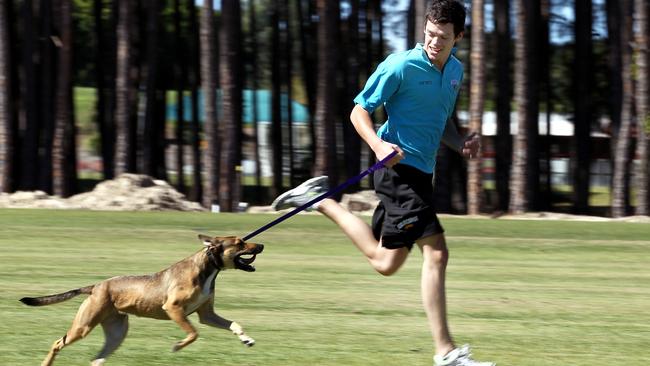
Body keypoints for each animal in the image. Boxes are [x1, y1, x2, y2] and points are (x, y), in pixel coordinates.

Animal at [20, 234, 264, 366]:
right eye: (240, 243)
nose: (261, 245)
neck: (207, 267)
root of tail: (96, 287)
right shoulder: (173, 308)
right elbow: (193, 333)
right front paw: (177, 346)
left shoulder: (206, 315)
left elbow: (233, 324)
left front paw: (246, 339)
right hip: (84, 325)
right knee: (57, 343)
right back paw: (46, 362)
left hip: (116, 332)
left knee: (96, 359)